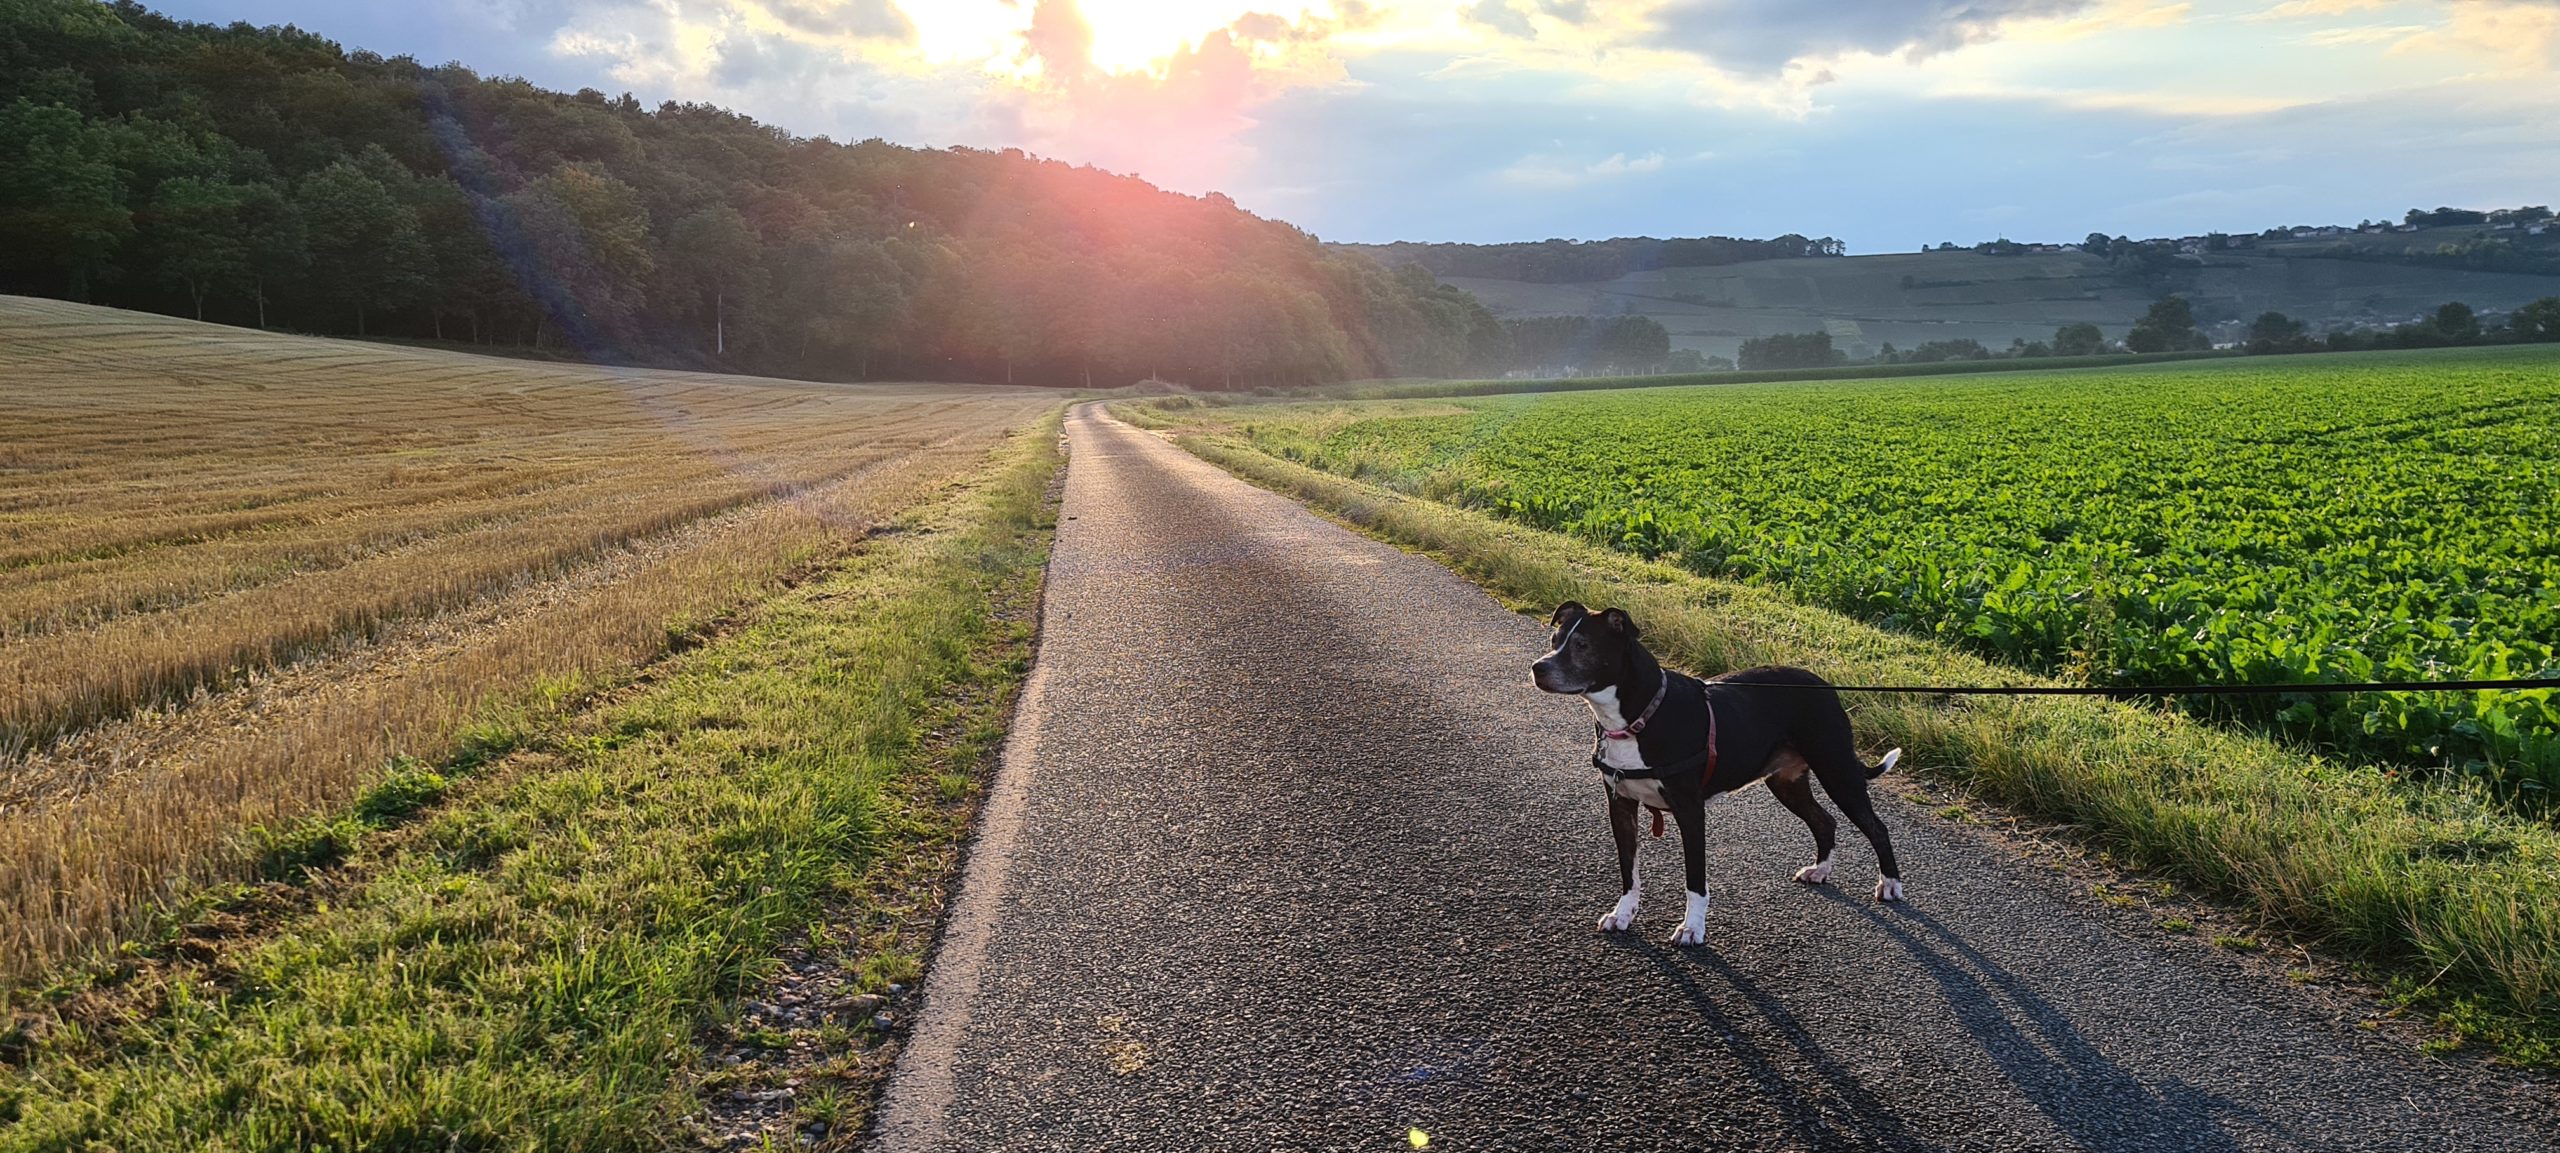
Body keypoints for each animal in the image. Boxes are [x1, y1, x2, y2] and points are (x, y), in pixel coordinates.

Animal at [1515, 604, 1904, 948]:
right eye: (1555, 639)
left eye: (1582, 645)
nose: (1538, 668)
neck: (1637, 718)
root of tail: (1825, 686)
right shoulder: (1620, 805)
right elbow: (1629, 872)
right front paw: (1623, 914)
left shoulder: (1690, 812)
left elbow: (1695, 880)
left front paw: (1692, 929)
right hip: (1785, 782)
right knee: (1824, 821)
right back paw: (1820, 870)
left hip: (1837, 771)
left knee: (1876, 827)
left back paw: (1890, 885)